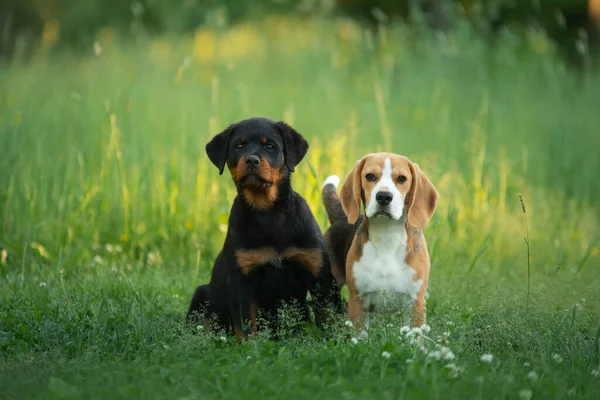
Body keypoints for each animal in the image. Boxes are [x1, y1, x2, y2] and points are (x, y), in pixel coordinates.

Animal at [185, 117, 340, 342]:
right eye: (238, 146)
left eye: (270, 146)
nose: (251, 160)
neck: (268, 213)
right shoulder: (241, 279)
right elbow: (246, 325)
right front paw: (251, 348)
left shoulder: (318, 272)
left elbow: (330, 316)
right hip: (201, 296)